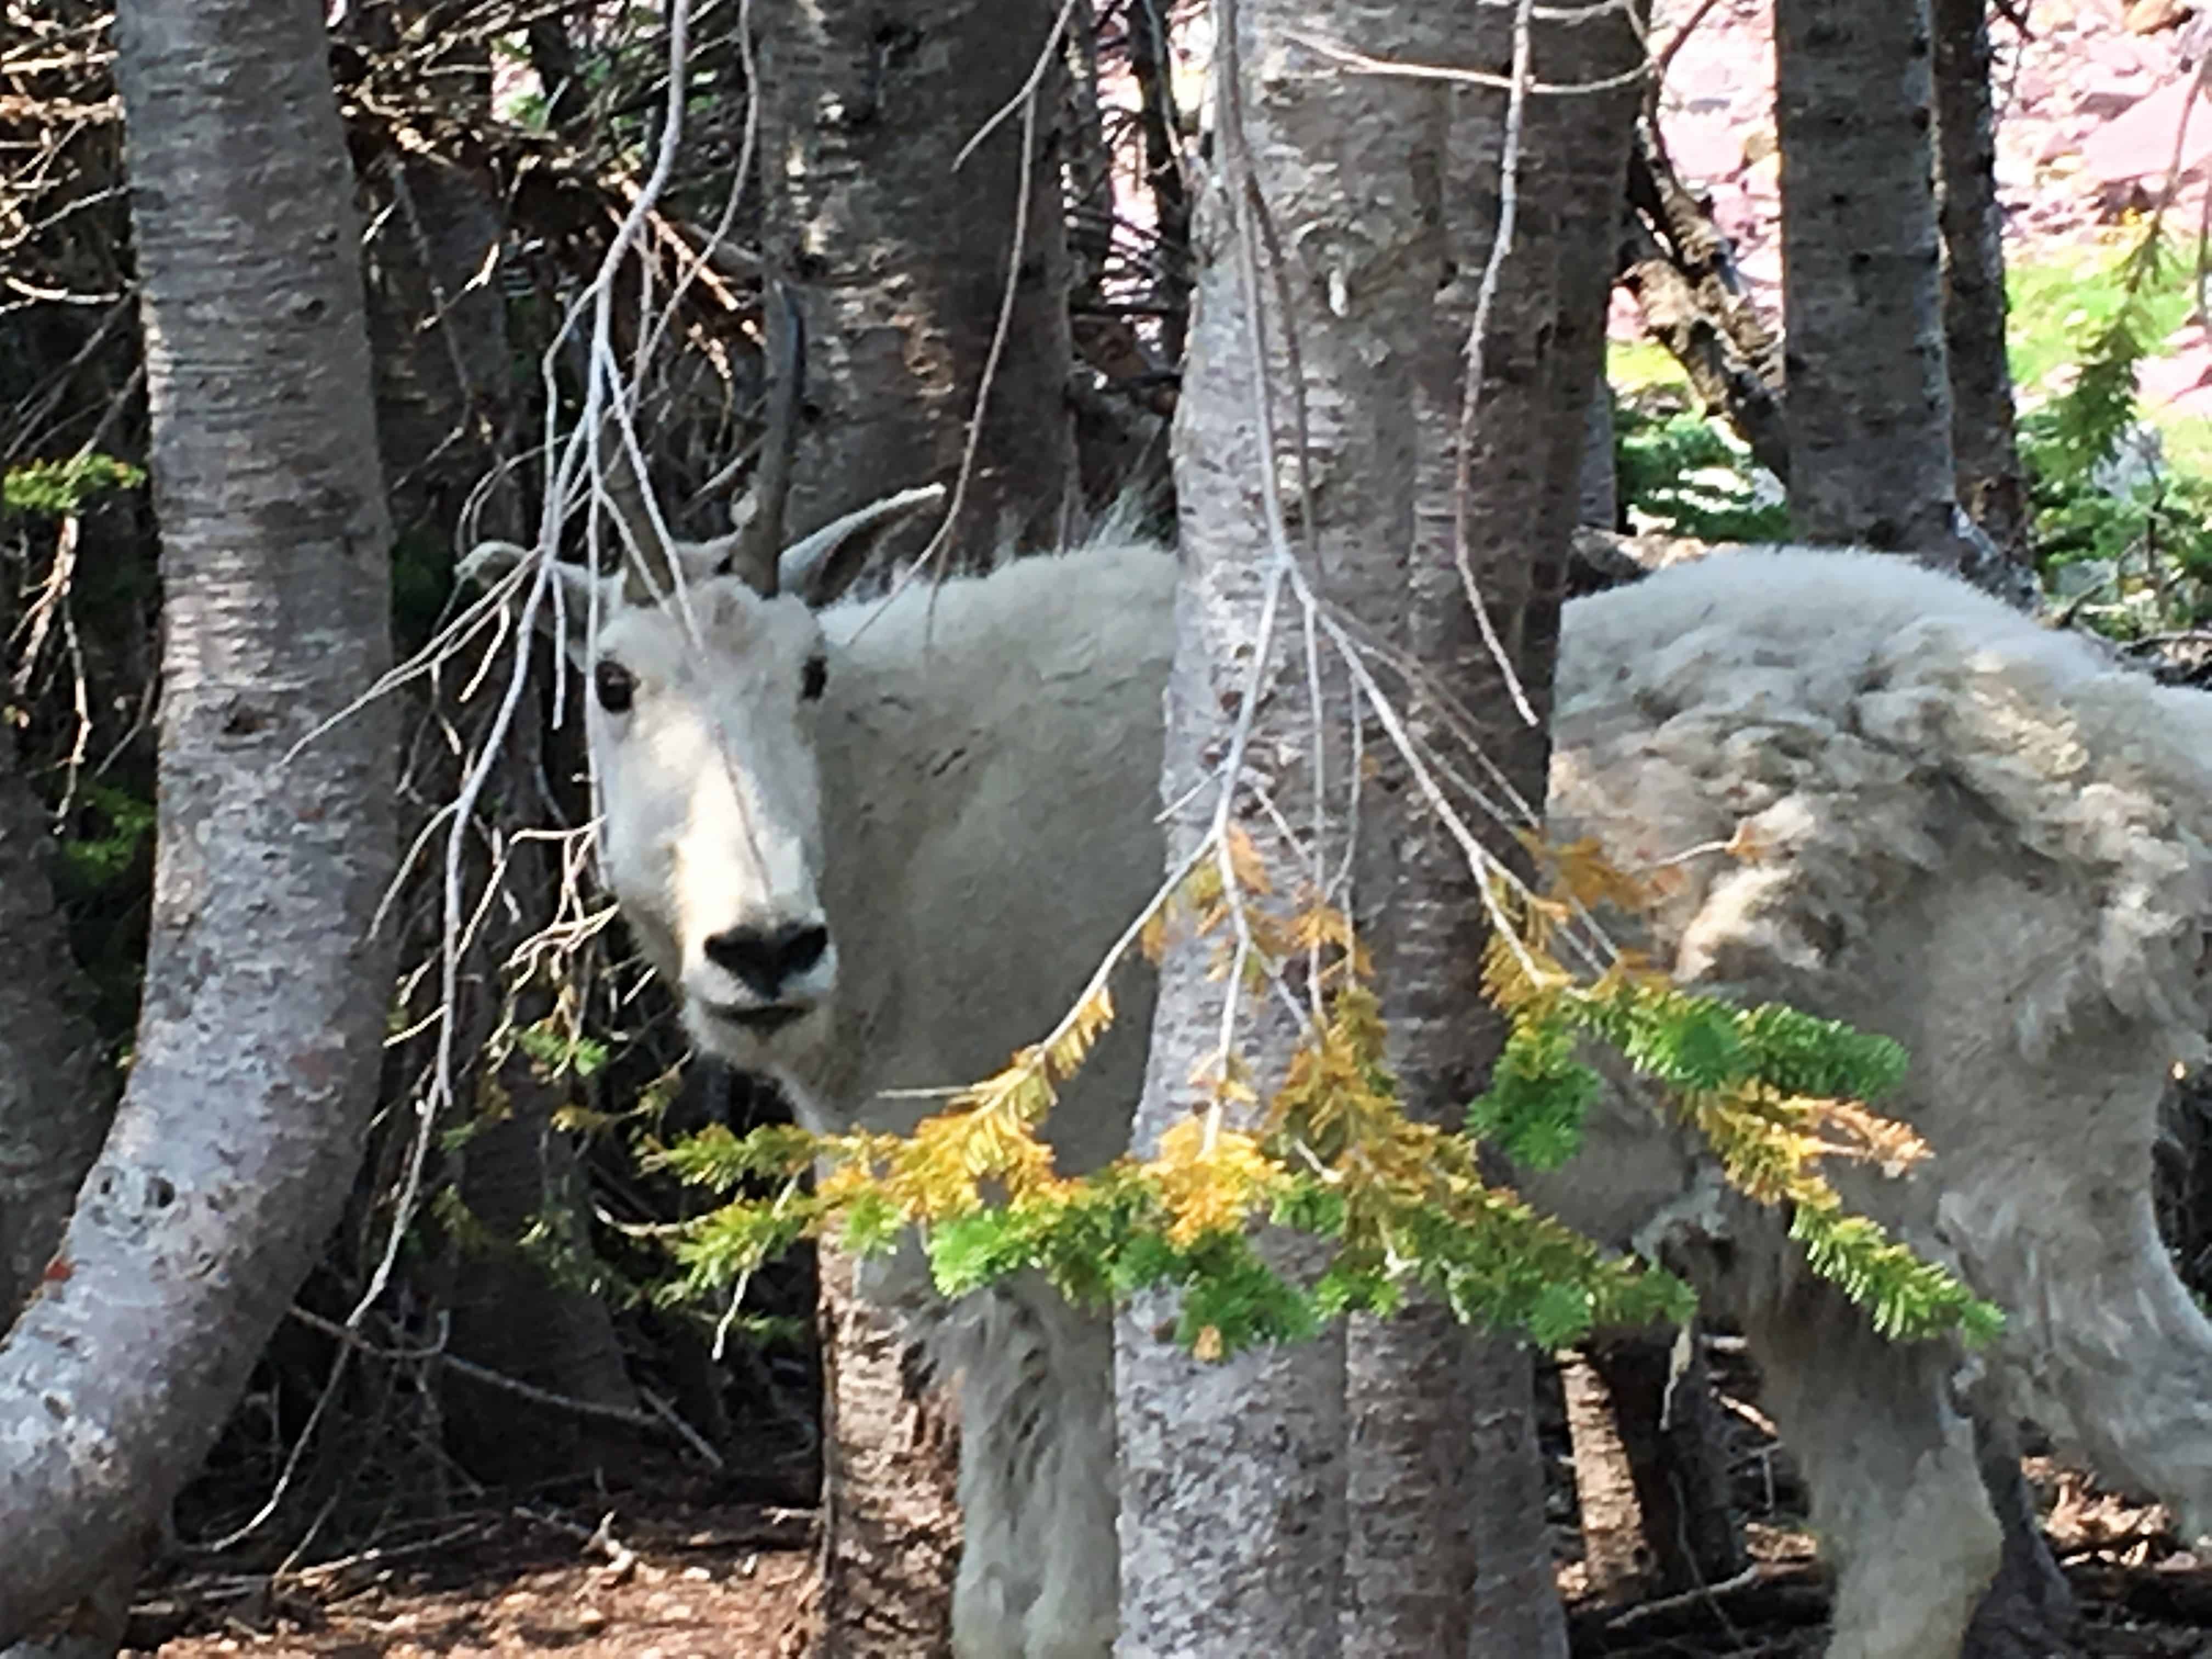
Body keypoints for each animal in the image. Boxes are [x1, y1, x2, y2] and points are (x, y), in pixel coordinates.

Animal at [475, 511, 2212, 1659]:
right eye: (611, 682)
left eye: (814, 671)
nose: (767, 945)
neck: (908, 846)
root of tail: (2133, 750)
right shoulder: (1004, 1308)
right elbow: (994, 1607)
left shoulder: (1104, 1263)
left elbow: (1075, 1612)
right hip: (1823, 1238)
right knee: (1925, 1535)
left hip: (2023, 1169)